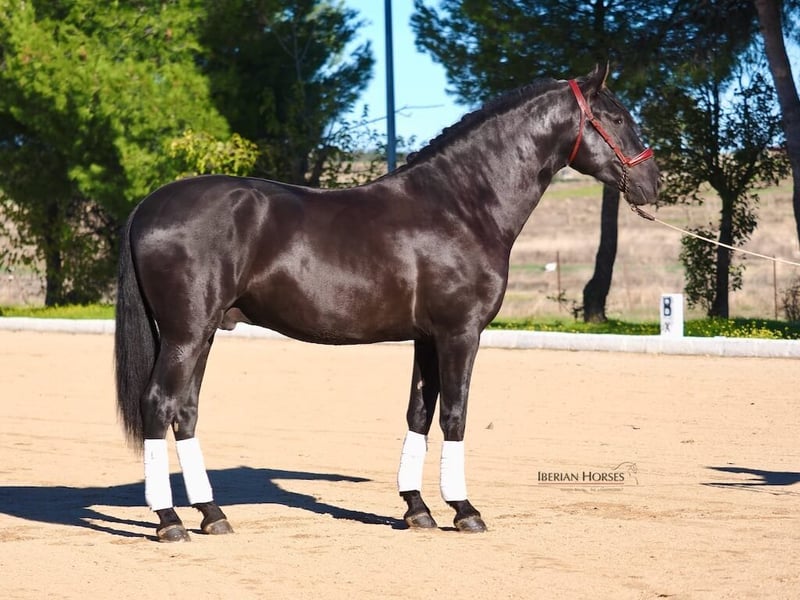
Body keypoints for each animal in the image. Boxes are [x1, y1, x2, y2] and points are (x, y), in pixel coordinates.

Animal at [114, 65, 659, 542]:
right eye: (615, 117)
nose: (652, 185)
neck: (461, 205)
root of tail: (148, 206)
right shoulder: (460, 333)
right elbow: (455, 415)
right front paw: (464, 511)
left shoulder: (426, 338)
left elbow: (419, 413)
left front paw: (417, 510)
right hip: (185, 334)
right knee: (158, 405)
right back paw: (169, 521)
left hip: (204, 333)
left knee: (185, 412)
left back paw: (212, 515)